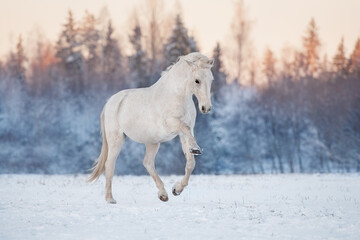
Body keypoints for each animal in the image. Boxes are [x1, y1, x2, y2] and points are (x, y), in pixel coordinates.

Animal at [88, 52, 214, 202]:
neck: (176, 95)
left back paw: (163, 194)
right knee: (110, 164)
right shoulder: (172, 125)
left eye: (211, 80)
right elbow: (186, 129)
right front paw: (195, 149)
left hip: (152, 143)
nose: (206, 108)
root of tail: (110, 102)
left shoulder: (183, 134)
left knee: (147, 163)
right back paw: (110, 199)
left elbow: (190, 163)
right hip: (116, 140)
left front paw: (176, 189)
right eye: (197, 80)